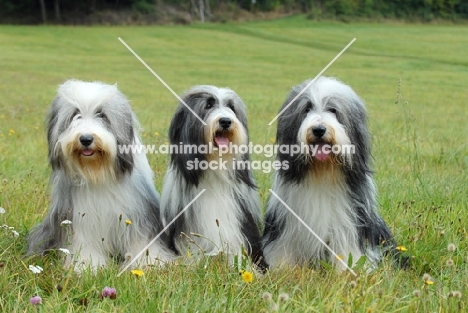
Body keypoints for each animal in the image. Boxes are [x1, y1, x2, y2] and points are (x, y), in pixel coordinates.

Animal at [27, 79, 177, 272]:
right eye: (75, 114)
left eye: (102, 114)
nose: (86, 139)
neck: (98, 173)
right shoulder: (79, 217)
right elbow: (84, 243)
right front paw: (88, 266)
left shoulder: (138, 213)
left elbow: (142, 238)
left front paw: (150, 262)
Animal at [262, 76, 400, 268]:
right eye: (307, 108)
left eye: (333, 110)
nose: (319, 129)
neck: (322, 172)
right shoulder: (286, 219)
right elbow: (283, 246)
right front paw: (282, 267)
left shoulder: (349, 219)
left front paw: (349, 268)